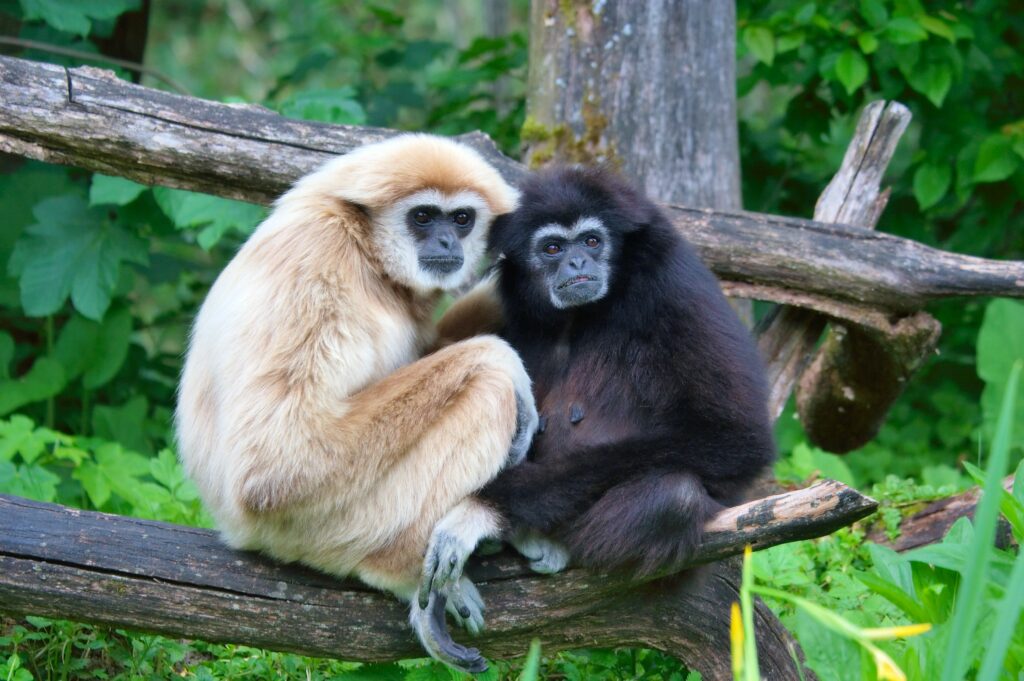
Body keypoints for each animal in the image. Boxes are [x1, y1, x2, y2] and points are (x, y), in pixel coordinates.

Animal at [175, 134, 538, 673]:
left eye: (461, 219)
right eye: (423, 217)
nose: (446, 243)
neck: (366, 252)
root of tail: (235, 532)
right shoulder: (316, 265)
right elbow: (277, 463)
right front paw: (503, 357)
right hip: (325, 526)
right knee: (488, 390)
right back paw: (407, 576)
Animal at [420, 166, 775, 622]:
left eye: (592, 241)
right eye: (553, 247)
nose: (577, 262)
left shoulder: (672, 283)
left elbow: (735, 437)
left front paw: (483, 508)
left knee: (675, 497)